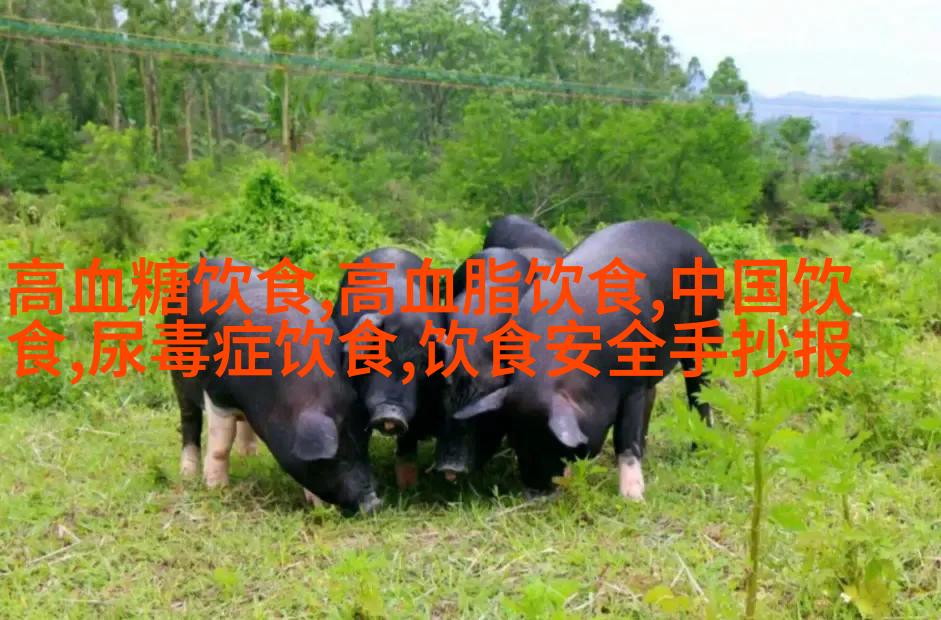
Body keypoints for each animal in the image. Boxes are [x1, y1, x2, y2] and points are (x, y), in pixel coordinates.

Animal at [170, 257, 381, 515]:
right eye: (336, 458)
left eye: (364, 446)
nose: (374, 503)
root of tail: (204, 260)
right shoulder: (215, 394)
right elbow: (220, 446)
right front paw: (217, 490)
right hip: (176, 373)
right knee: (189, 421)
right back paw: (188, 475)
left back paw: (250, 457)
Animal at [453, 221, 722, 501]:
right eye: (516, 438)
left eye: (550, 442)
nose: (536, 490)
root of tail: (695, 243)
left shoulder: (634, 385)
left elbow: (626, 435)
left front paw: (633, 498)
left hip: (707, 326)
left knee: (700, 391)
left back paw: (699, 445)